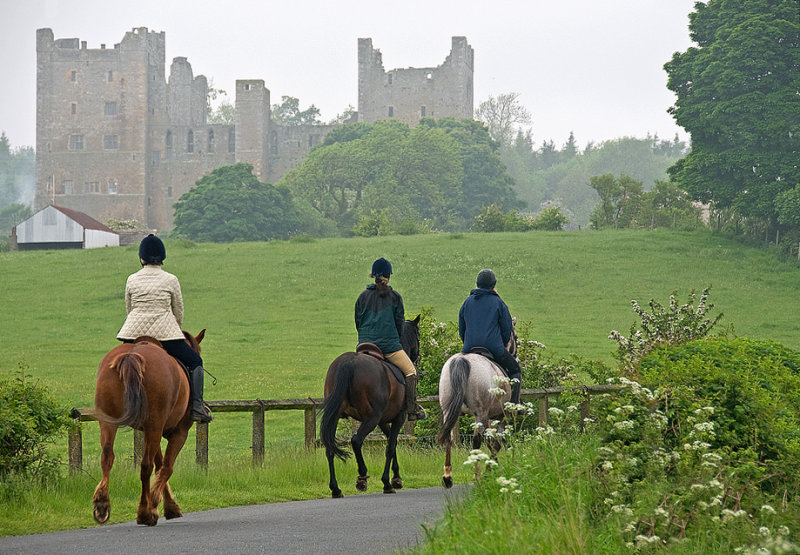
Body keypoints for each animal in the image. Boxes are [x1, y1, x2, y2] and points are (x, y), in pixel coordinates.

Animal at [90, 330, 206, 524]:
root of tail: (131, 356)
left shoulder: (150, 432)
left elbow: (160, 466)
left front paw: (168, 505)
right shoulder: (178, 432)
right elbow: (166, 466)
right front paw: (158, 503)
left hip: (109, 421)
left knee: (107, 456)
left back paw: (102, 504)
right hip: (155, 424)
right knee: (145, 466)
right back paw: (145, 512)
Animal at [318, 314, 422, 502]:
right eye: (418, 335)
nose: (417, 357)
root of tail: (349, 362)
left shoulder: (384, 421)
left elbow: (393, 443)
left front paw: (396, 478)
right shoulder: (399, 417)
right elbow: (390, 447)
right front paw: (388, 483)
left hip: (336, 416)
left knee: (329, 447)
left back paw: (336, 489)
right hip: (371, 418)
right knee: (356, 441)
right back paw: (362, 477)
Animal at [438, 320, 520, 488]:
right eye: (515, 337)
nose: (516, 355)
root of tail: (461, 360)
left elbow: (490, 442)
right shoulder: (499, 416)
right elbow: (495, 443)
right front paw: (491, 468)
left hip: (449, 411)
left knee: (448, 438)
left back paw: (448, 476)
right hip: (480, 413)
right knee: (476, 441)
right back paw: (477, 475)